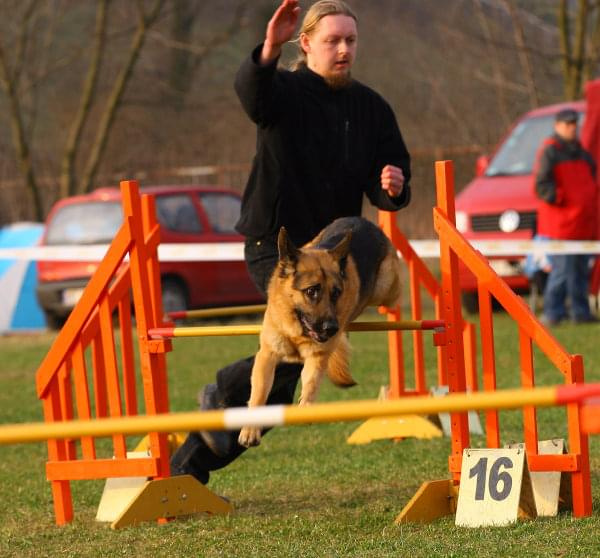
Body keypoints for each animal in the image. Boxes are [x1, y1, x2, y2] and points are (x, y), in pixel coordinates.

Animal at [237, 217, 400, 448]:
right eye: (311, 291)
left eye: (336, 293)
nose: (331, 329)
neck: (296, 330)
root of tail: (363, 221)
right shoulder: (267, 356)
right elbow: (259, 393)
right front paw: (250, 431)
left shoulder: (317, 355)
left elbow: (311, 382)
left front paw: (305, 408)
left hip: (385, 287)